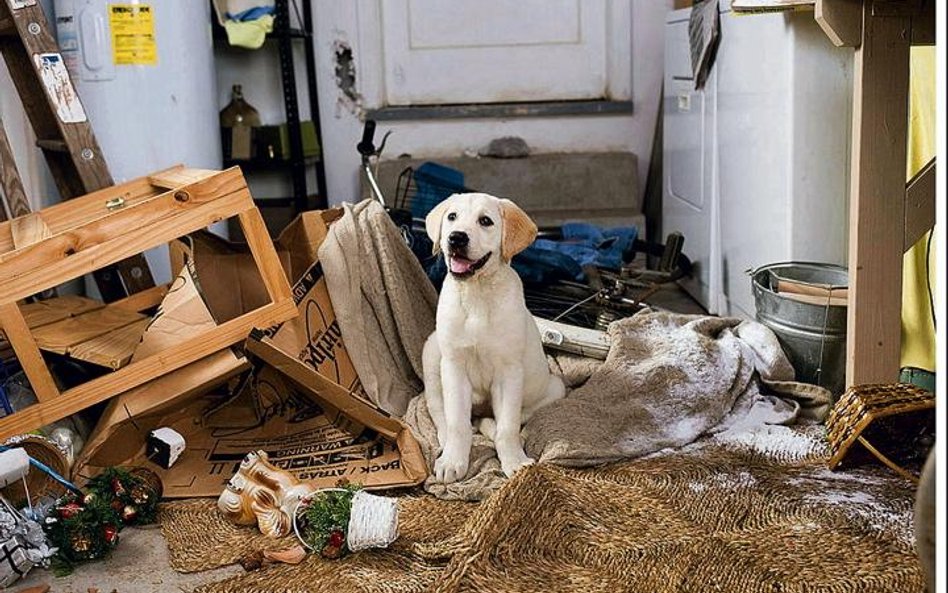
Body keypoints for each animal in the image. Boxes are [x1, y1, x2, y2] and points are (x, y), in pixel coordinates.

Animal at [422, 193, 564, 480]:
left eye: (485, 221)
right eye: (452, 217)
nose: (456, 237)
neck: (477, 293)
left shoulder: (508, 372)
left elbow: (508, 425)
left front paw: (514, 461)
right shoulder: (454, 366)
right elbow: (457, 421)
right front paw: (453, 460)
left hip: (555, 387)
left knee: (510, 419)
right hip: (432, 354)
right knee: (438, 409)